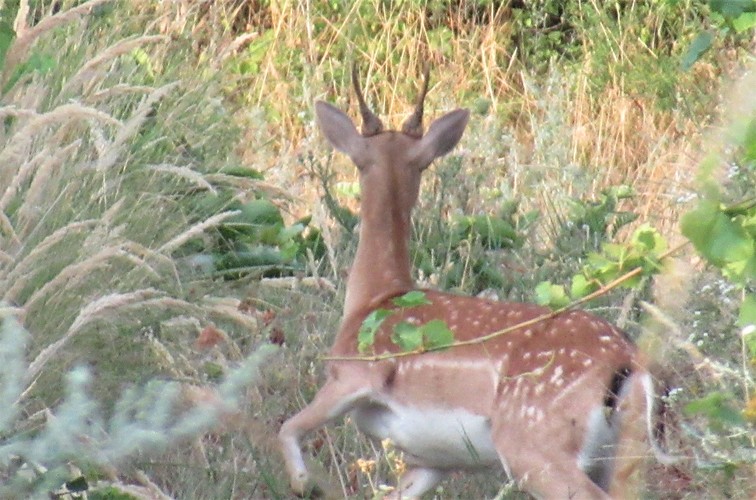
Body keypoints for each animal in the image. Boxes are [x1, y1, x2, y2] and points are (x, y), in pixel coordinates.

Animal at [280, 67, 672, 500]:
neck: (374, 297)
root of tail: (627, 360)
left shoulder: (350, 376)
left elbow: (287, 428)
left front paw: (302, 483)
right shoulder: (431, 460)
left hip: (531, 439)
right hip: (622, 449)